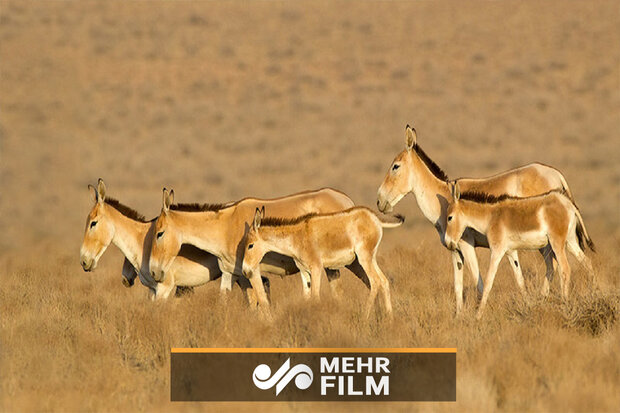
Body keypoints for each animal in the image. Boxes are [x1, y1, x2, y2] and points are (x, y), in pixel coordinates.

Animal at [148, 188, 356, 308]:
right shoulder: (230, 272)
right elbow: (224, 302)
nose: (154, 272)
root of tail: (347, 200)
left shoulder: (251, 271)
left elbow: (261, 301)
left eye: (159, 233)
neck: (225, 227)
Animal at [240, 208, 404, 318]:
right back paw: (390, 319)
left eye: (250, 245)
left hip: (364, 257)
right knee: (384, 281)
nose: (245, 271)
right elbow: (307, 297)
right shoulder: (304, 271)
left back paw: (364, 317)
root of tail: (373, 217)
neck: (297, 238)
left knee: (375, 281)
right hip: (371, 257)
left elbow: (315, 296)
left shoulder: (316, 268)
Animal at [376, 124, 580, 314]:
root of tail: (556, 174)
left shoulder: (466, 245)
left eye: (395, 166)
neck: (444, 197)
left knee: (553, 265)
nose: (379, 201)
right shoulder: (454, 250)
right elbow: (458, 287)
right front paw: (458, 317)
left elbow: (479, 284)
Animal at [446, 181, 596, 318]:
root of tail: (567, 203)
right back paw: (594, 292)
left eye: (449, 217)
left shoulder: (497, 250)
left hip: (557, 242)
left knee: (565, 269)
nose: (449, 243)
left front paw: (478, 315)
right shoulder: (510, 252)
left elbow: (488, 281)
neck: (491, 218)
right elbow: (519, 279)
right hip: (570, 242)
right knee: (587, 263)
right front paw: (528, 305)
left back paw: (565, 304)